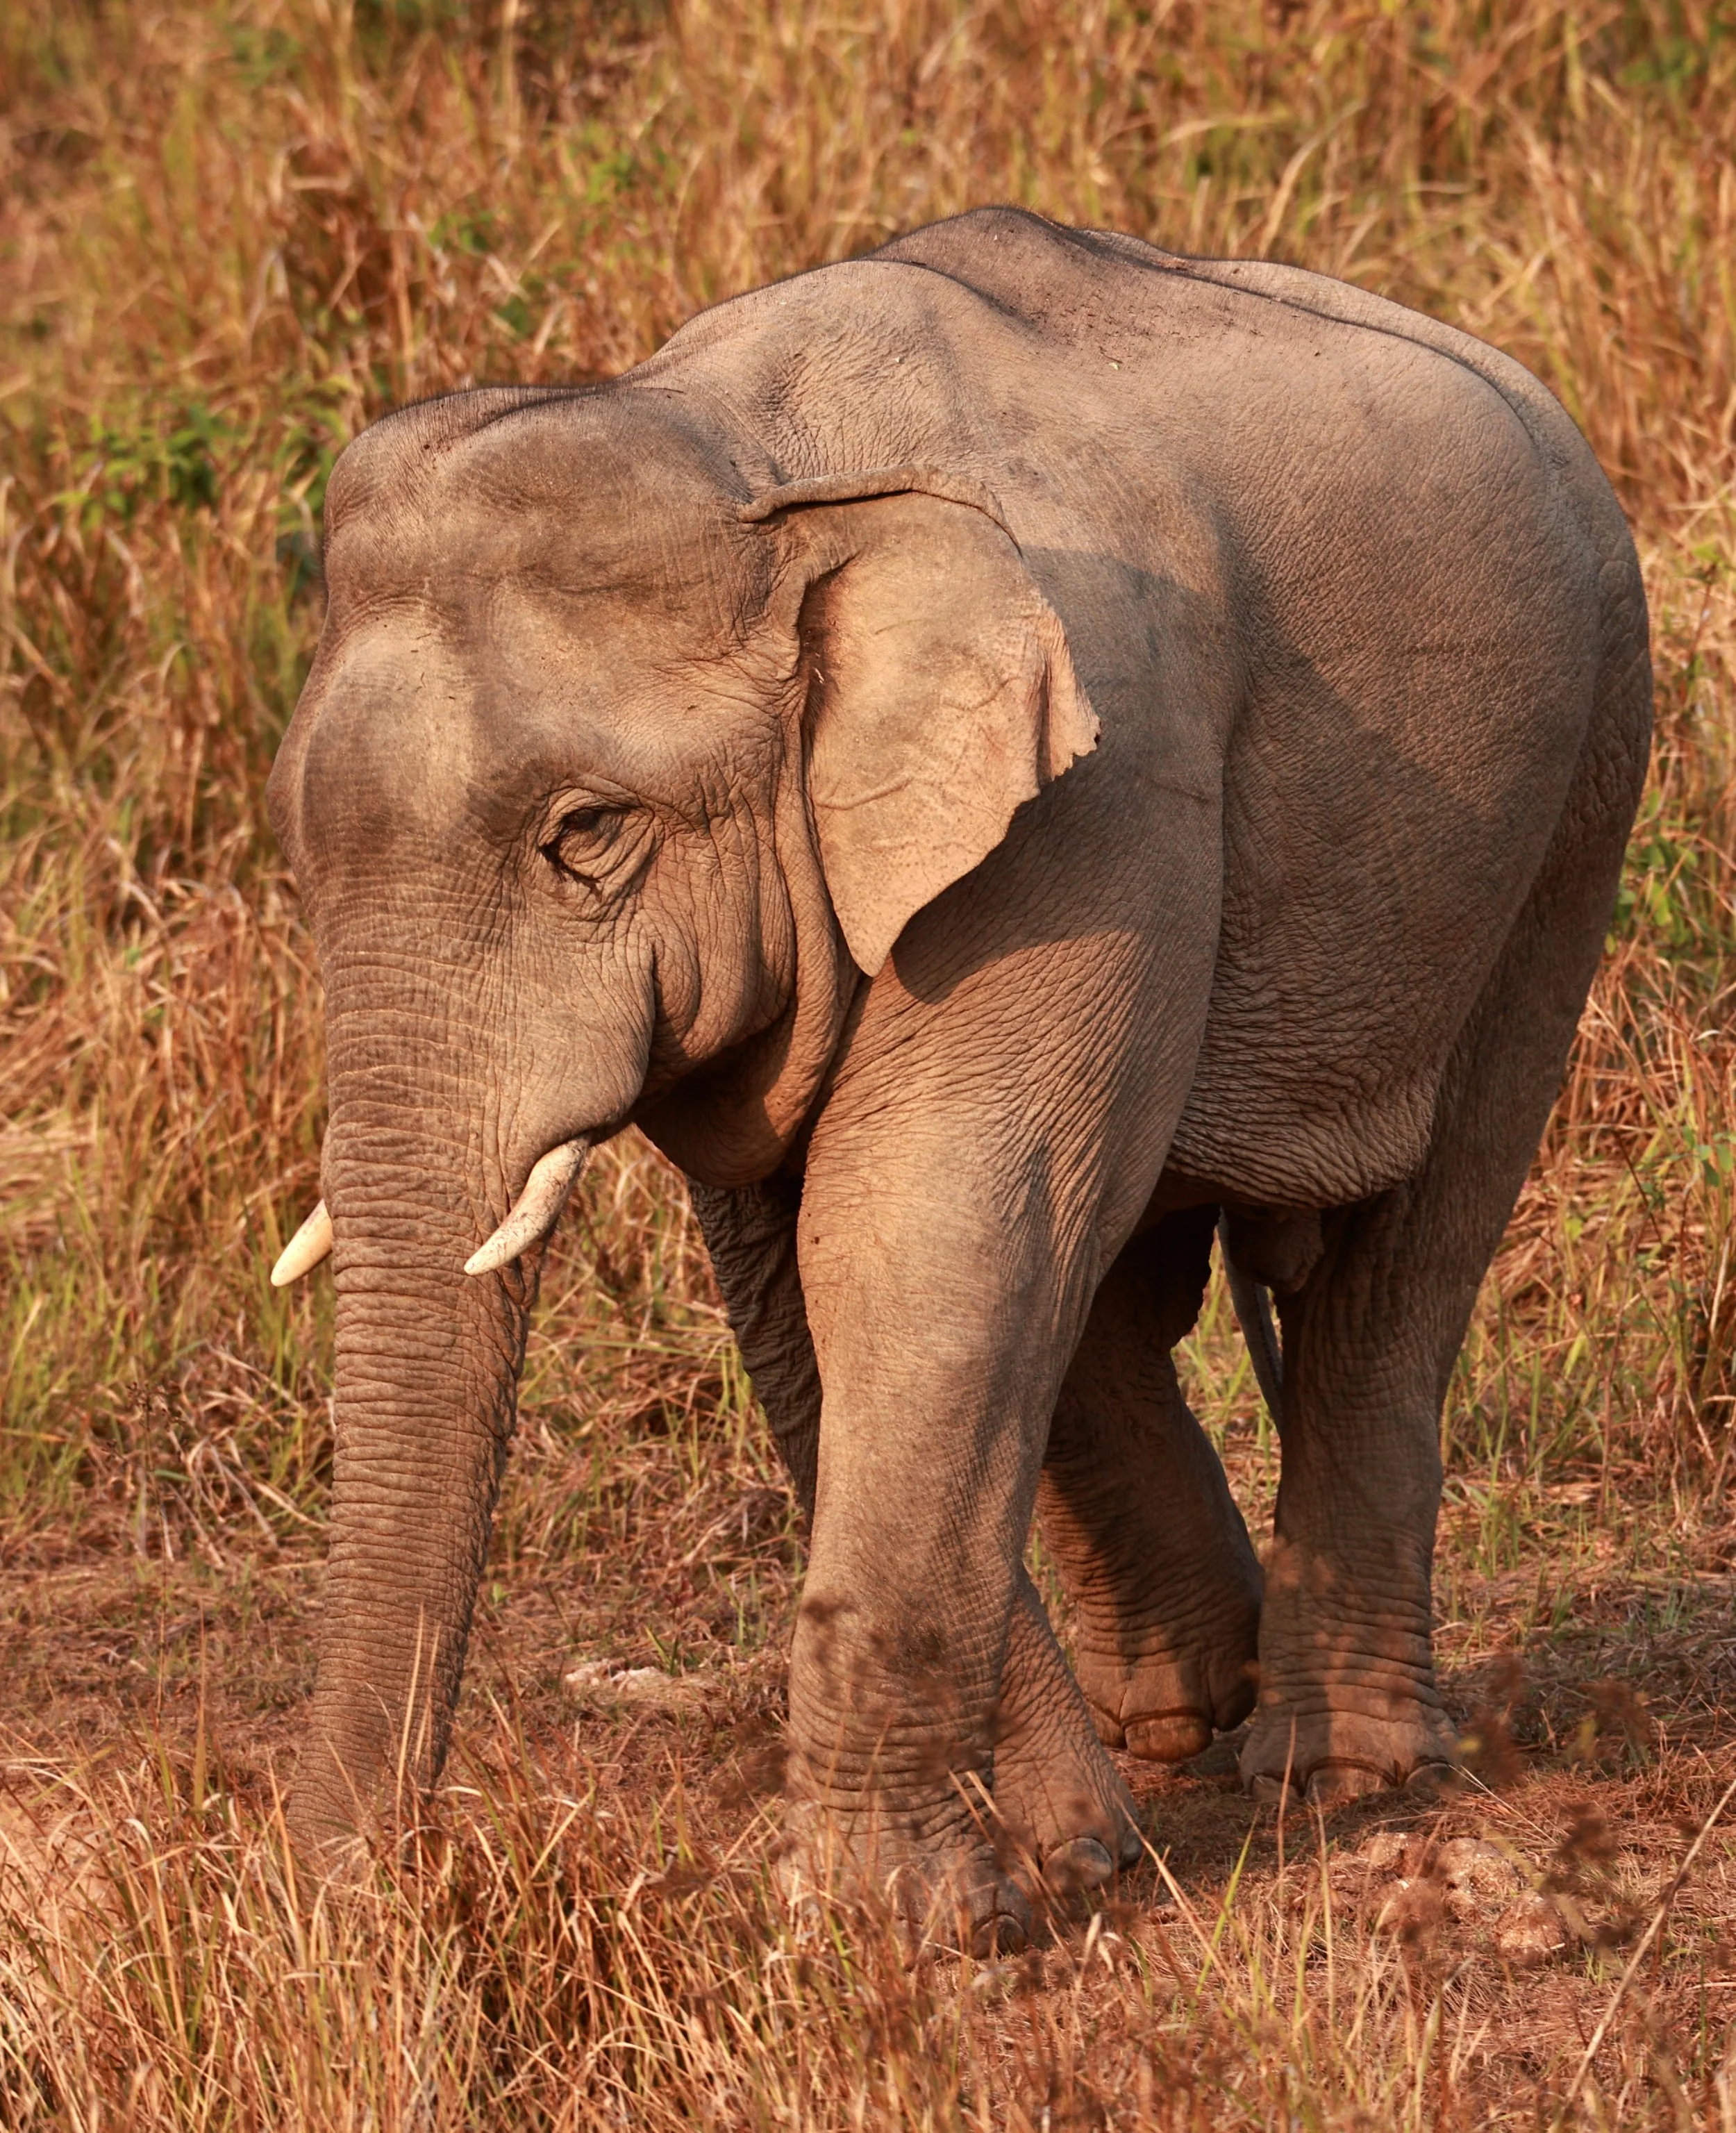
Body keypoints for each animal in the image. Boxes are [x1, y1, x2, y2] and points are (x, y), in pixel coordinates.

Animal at [265, 207, 1650, 1954]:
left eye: (588, 833)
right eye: (295, 838)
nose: (361, 1894)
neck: (756, 463)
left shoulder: (1097, 797)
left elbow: (917, 1227)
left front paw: (894, 1931)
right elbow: (813, 1273)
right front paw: (1042, 1860)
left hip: (1582, 783)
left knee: (1401, 1261)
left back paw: (1331, 1768)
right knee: (1115, 1288)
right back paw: (1179, 1713)